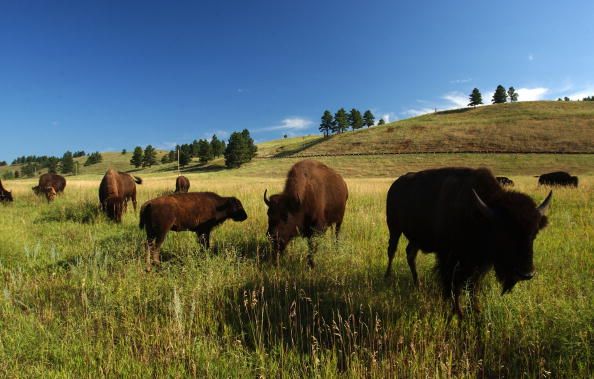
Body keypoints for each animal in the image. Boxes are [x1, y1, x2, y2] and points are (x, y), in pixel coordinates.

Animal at [384, 168, 552, 320]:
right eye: (505, 233)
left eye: (534, 234)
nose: (526, 274)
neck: (481, 215)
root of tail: (395, 186)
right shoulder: (449, 258)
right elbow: (452, 284)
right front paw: (456, 312)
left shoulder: (478, 263)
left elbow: (472, 286)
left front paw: (475, 311)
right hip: (394, 228)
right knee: (392, 251)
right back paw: (388, 277)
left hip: (415, 239)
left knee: (410, 254)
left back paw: (418, 284)